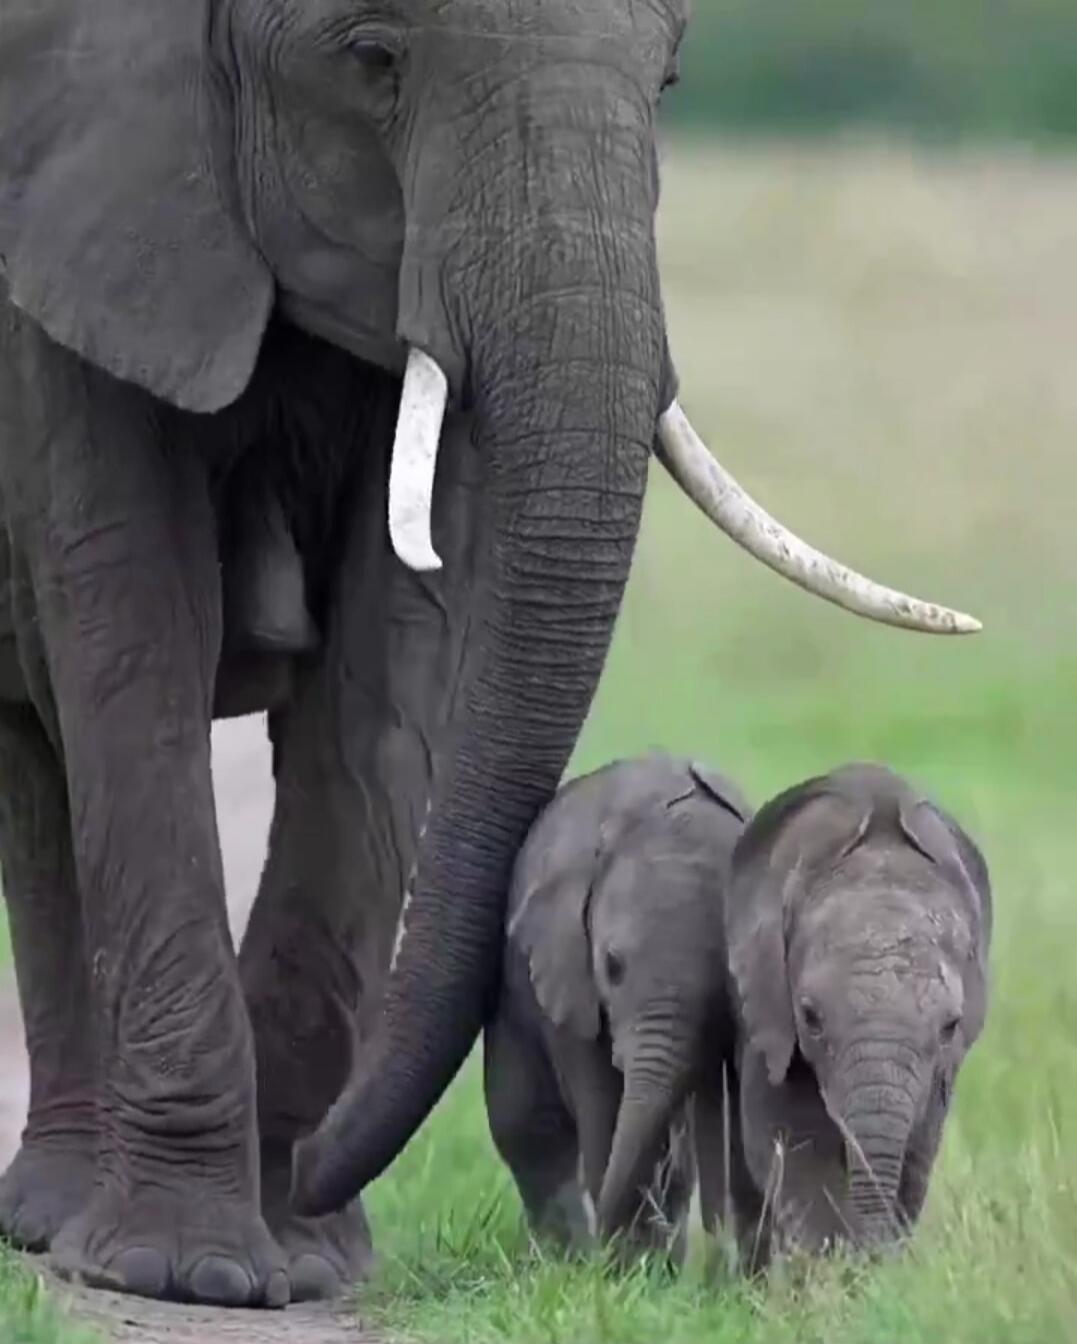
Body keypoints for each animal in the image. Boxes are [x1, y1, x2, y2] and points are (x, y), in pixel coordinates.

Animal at [484, 754, 750, 1264]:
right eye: (612, 965)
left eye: (728, 980)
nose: (601, 1249)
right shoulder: (569, 974)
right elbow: (601, 1100)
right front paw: (625, 1267)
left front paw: (641, 1265)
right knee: (526, 1122)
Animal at [713, 763, 992, 1257]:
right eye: (810, 1018)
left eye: (950, 1027)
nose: (875, 1249)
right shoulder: (769, 1010)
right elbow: (789, 1141)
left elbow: (917, 1151)